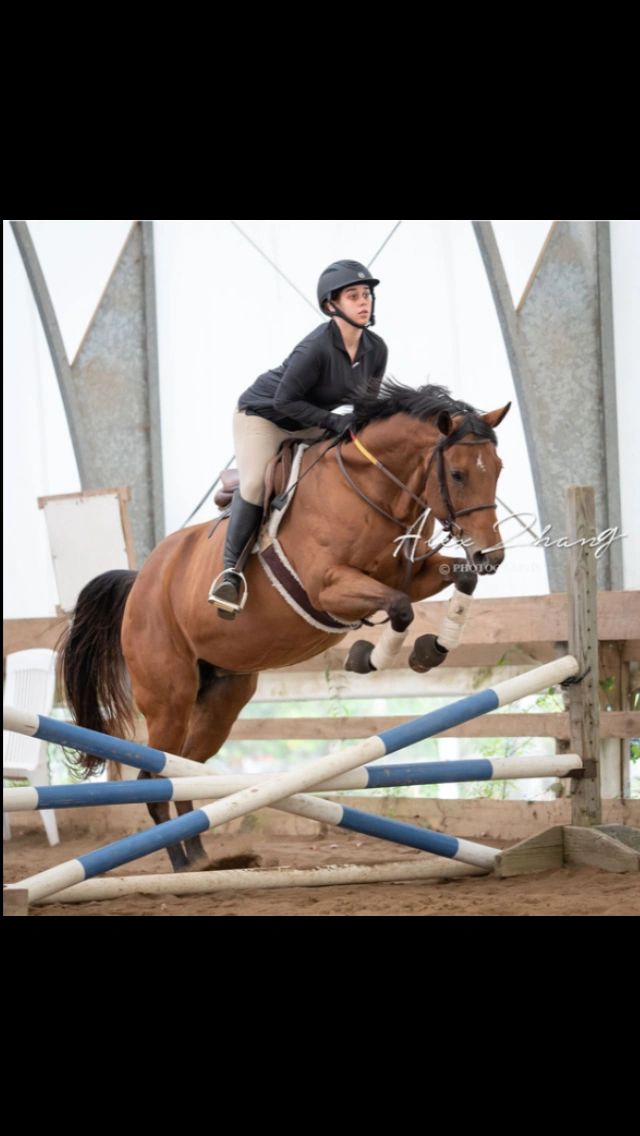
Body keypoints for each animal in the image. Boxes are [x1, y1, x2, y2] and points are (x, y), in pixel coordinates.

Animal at [60, 382, 510, 871]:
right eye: (459, 474)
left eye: (498, 469)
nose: (492, 555)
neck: (372, 493)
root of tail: (140, 580)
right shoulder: (329, 588)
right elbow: (401, 608)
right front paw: (370, 658)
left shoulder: (417, 571)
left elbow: (458, 580)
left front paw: (432, 650)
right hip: (169, 698)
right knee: (154, 777)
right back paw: (183, 867)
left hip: (223, 697)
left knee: (186, 770)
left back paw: (202, 857)